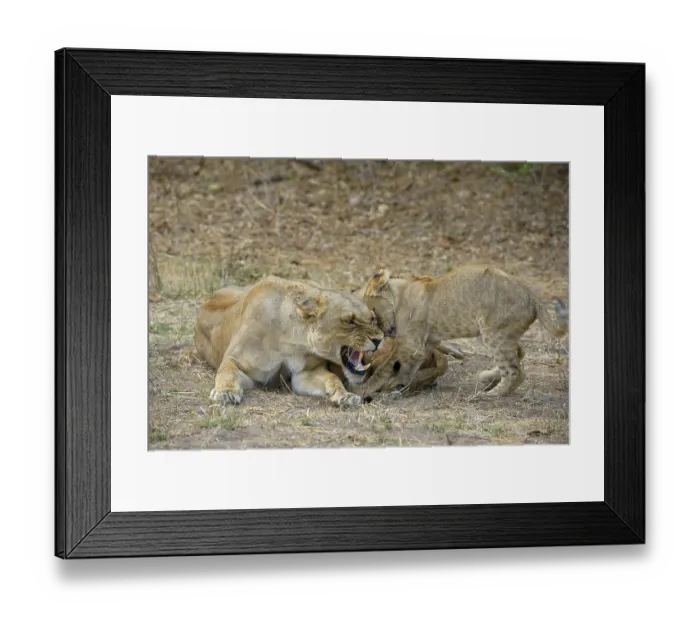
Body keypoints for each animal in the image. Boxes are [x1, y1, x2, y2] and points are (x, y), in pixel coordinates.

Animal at [194, 276, 385, 408]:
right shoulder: (237, 361)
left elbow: (332, 377)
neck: (291, 341)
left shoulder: (306, 373)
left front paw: (345, 396)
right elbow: (227, 371)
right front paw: (225, 393)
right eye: (349, 321)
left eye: (373, 319)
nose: (379, 339)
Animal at [358, 265, 568, 397]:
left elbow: (385, 366)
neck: (400, 293)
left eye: (373, 314)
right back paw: (488, 378)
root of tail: (532, 296)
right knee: (519, 356)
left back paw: (491, 394)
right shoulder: (424, 345)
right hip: (499, 333)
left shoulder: (410, 344)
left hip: (493, 333)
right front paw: (398, 385)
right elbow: (407, 368)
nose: (383, 334)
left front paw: (368, 387)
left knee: (515, 371)